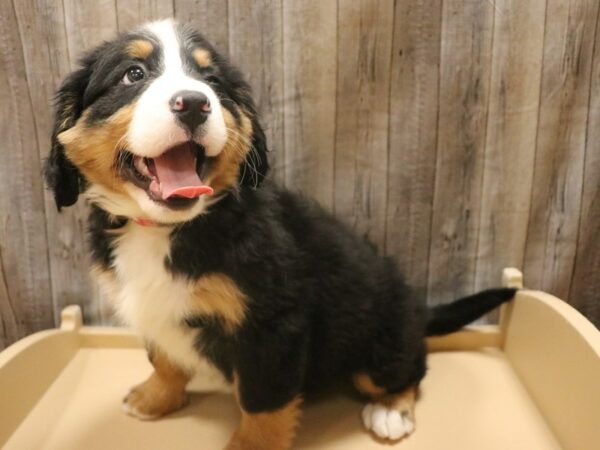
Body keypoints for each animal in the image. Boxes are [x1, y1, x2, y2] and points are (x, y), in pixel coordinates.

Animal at [45, 18, 516, 450]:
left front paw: (250, 446)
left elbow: (262, 403)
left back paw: (390, 410)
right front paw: (155, 397)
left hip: (380, 337)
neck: (166, 229)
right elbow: (163, 358)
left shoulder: (272, 328)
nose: (195, 103)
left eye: (212, 81)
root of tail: (418, 309)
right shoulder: (153, 309)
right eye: (133, 74)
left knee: (408, 368)